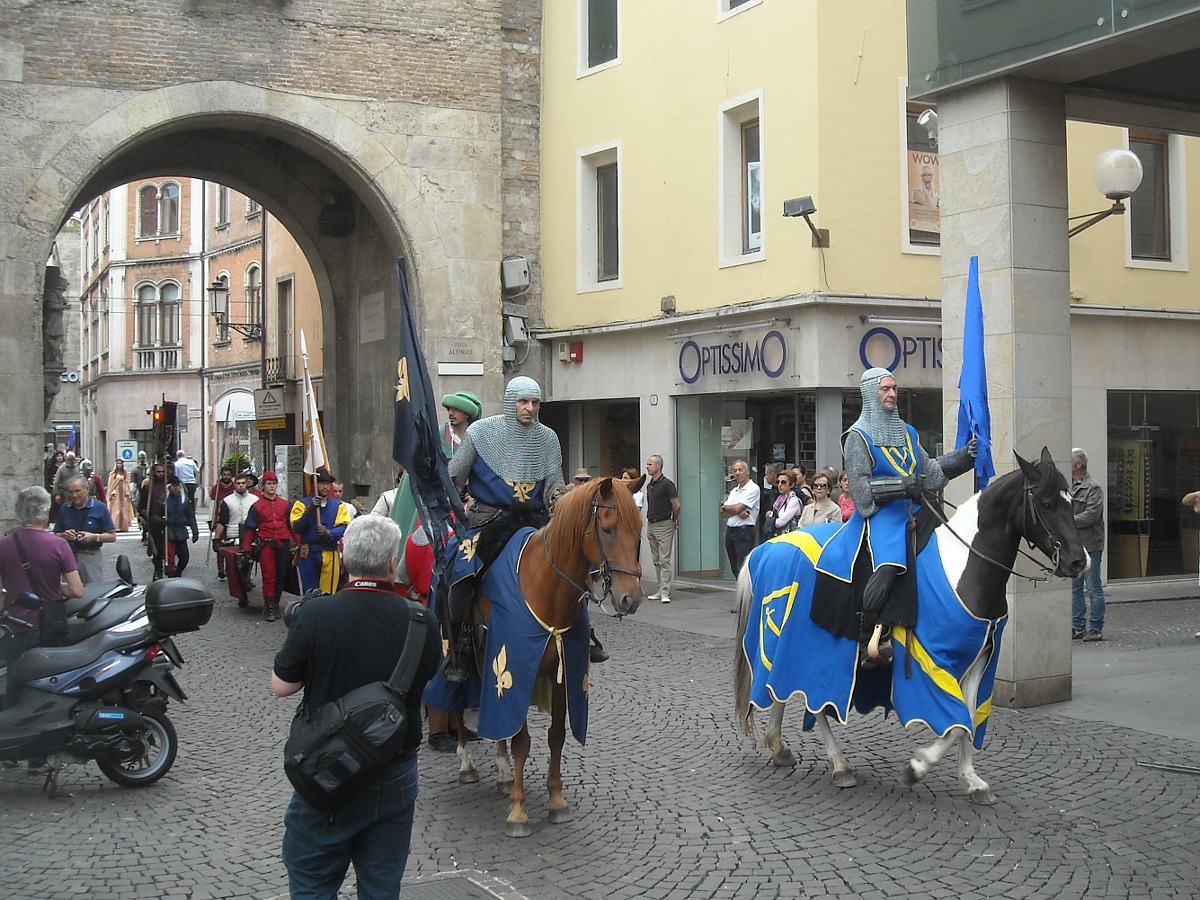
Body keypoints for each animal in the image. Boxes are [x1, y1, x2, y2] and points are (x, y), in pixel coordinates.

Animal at [453, 480, 648, 840]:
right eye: (607, 529)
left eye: (639, 530)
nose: (632, 599)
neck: (547, 587)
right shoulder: (516, 671)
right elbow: (522, 741)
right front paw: (518, 812)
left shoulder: (563, 673)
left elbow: (556, 735)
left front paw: (556, 801)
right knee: (454, 702)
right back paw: (467, 764)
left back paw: (502, 774)